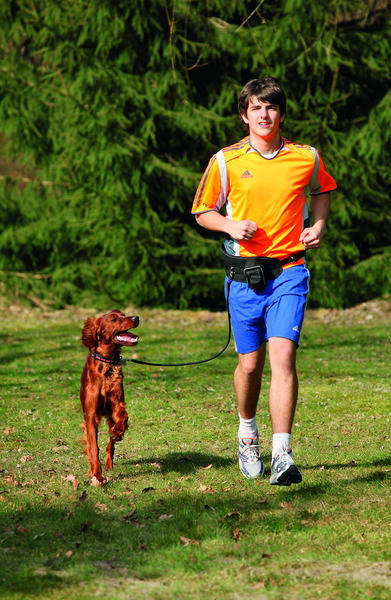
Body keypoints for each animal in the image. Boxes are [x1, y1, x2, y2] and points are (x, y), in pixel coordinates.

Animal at [80, 310, 140, 482]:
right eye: (114, 319)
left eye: (124, 314)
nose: (136, 318)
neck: (106, 363)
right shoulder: (91, 416)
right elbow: (93, 448)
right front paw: (97, 475)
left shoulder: (117, 403)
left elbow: (124, 416)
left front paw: (118, 431)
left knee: (110, 445)